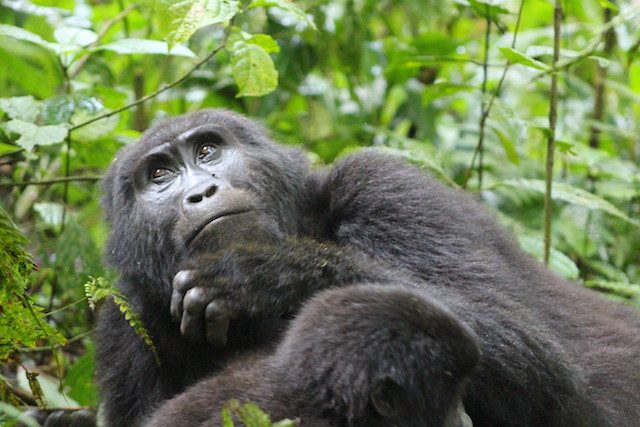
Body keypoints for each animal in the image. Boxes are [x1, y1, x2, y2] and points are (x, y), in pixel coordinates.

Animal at [96, 110, 640, 427]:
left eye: (209, 149)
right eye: (160, 175)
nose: (201, 191)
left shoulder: (385, 186)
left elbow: (539, 368)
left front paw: (265, 274)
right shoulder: (126, 314)